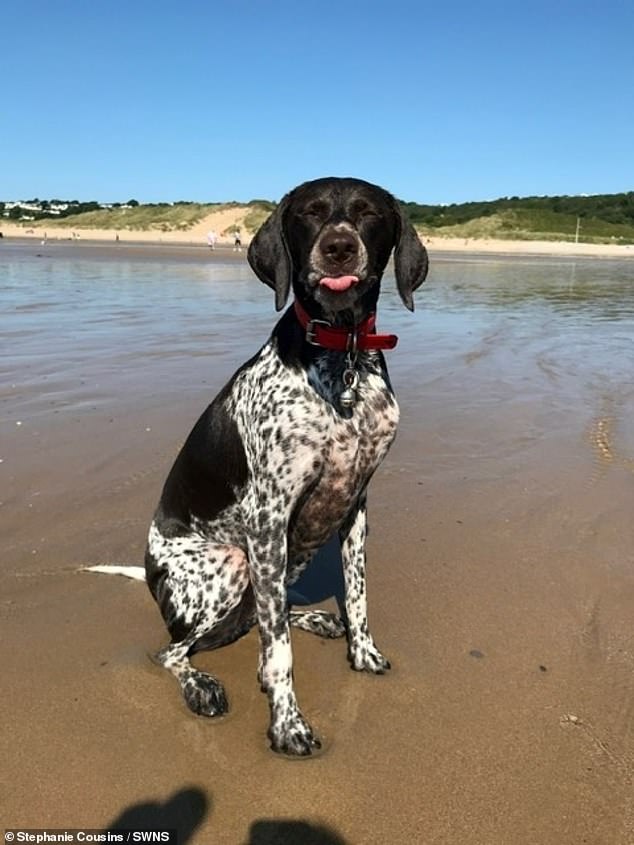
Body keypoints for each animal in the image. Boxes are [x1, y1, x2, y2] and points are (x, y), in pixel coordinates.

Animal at [143, 176, 428, 752]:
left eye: (369, 214)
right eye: (310, 214)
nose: (339, 247)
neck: (343, 356)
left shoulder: (355, 504)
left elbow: (357, 594)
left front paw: (362, 653)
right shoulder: (268, 518)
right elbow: (277, 652)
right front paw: (287, 722)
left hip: (291, 548)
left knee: (260, 613)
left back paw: (314, 619)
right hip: (233, 562)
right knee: (173, 651)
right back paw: (200, 684)